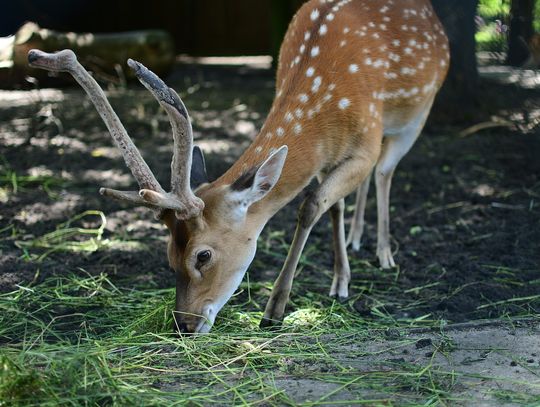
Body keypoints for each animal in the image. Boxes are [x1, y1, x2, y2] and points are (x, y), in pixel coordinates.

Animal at [28, 0, 452, 334]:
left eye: (202, 256)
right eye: (168, 255)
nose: (184, 325)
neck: (329, 106)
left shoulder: (364, 144)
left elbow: (311, 205)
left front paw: (274, 310)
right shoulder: (331, 158)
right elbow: (330, 206)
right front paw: (340, 281)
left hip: (418, 114)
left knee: (384, 171)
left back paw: (384, 253)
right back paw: (357, 240)